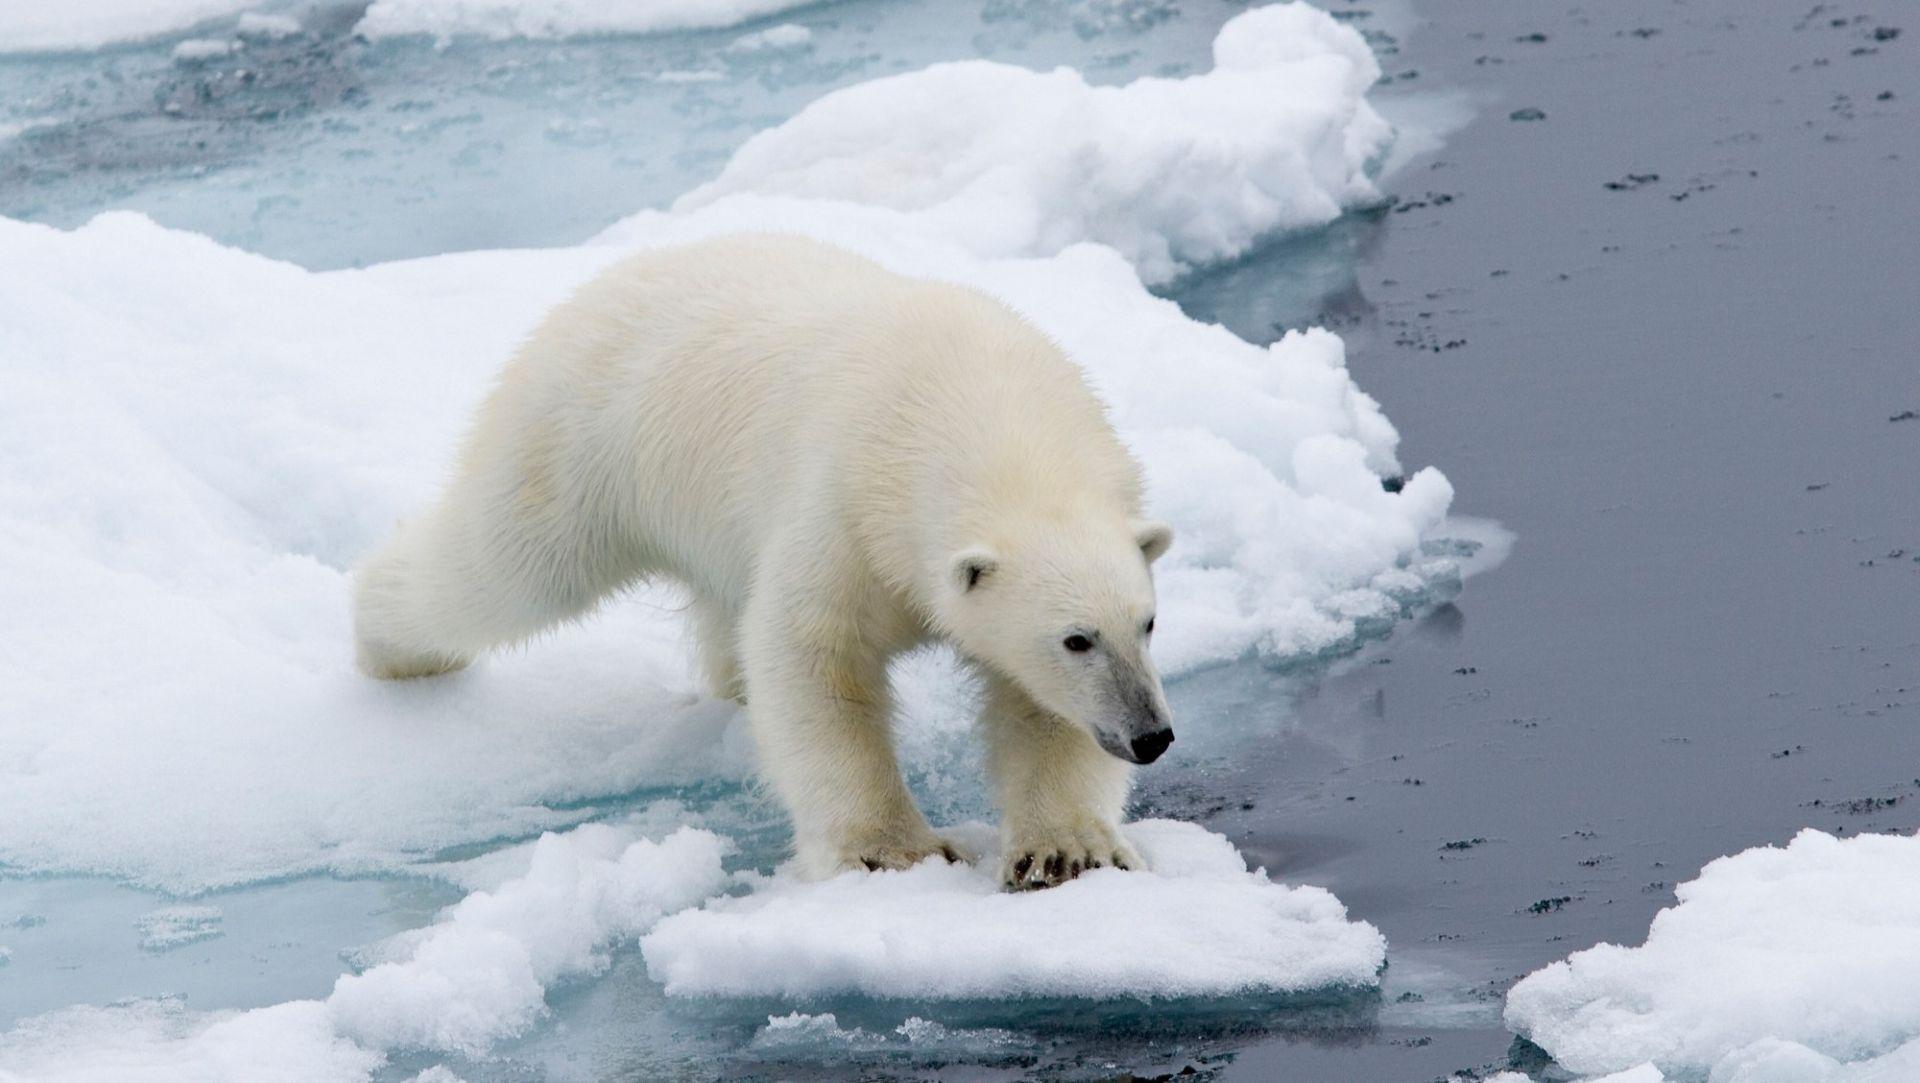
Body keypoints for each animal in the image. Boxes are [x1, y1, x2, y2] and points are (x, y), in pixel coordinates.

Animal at [353, 234, 1176, 889]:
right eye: (1076, 638)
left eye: (1148, 624)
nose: (1151, 735)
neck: (984, 414)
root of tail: (612, 274)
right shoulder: (844, 505)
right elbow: (813, 655)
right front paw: (891, 851)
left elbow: (1040, 709)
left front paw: (1065, 851)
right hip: (579, 440)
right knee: (504, 570)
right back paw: (387, 644)